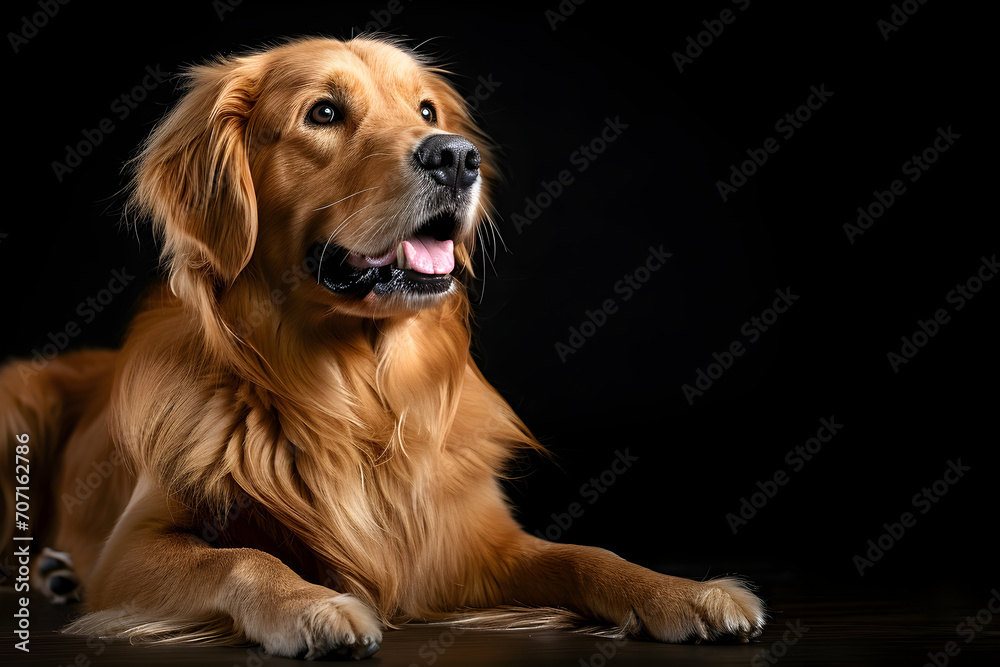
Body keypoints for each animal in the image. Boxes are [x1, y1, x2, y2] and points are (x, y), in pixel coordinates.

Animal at [1, 35, 764, 656]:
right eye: (323, 113)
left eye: (427, 111)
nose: (457, 156)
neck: (355, 393)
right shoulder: (130, 549)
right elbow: (242, 557)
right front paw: (310, 606)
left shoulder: (466, 542)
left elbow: (588, 554)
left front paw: (685, 593)